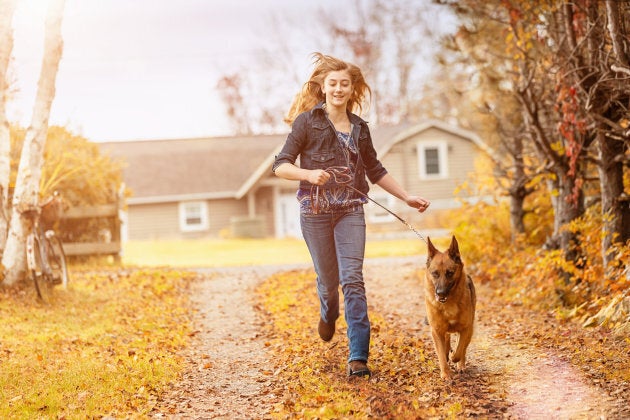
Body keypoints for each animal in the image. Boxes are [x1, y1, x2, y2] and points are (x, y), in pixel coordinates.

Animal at [428, 236, 476, 380]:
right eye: (435, 273)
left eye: (450, 273)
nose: (440, 293)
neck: (449, 303)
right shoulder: (436, 331)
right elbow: (441, 354)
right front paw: (445, 373)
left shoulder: (466, 328)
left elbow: (460, 349)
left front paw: (456, 358)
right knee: (447, 340)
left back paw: (460, 364)